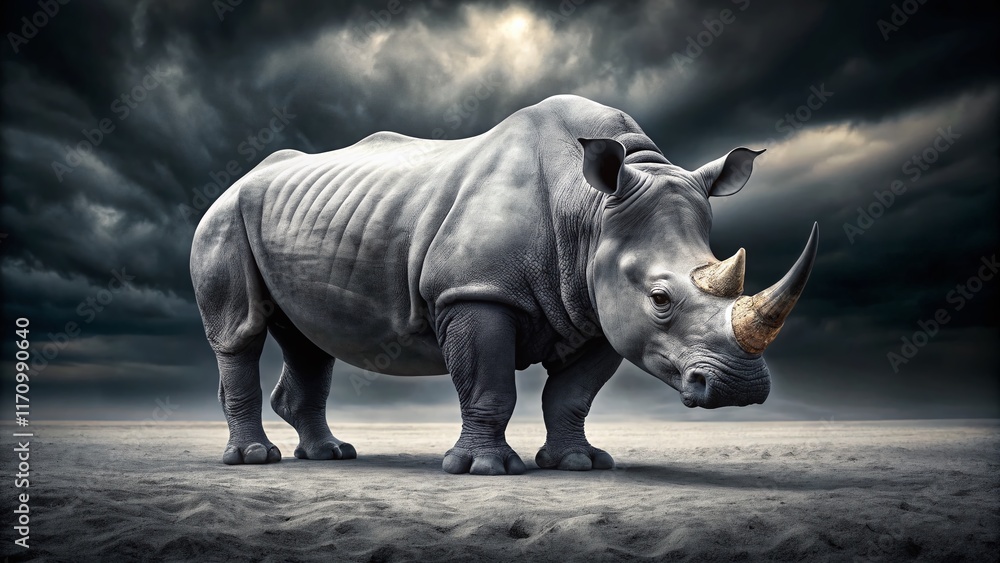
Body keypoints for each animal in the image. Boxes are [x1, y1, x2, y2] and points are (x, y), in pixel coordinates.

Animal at [191, 94, 817, 474]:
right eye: (661, 300)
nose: (740, 388)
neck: (590, 211)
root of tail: (240, 180)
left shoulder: (597, 308)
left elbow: (571, 395)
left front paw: (578, 464)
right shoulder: (477, 291)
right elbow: (488, 384)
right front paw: (483, 470)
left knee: (309, 340)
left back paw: (331, 455)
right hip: (223, 216)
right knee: (239, 333)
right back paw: (255, 459)